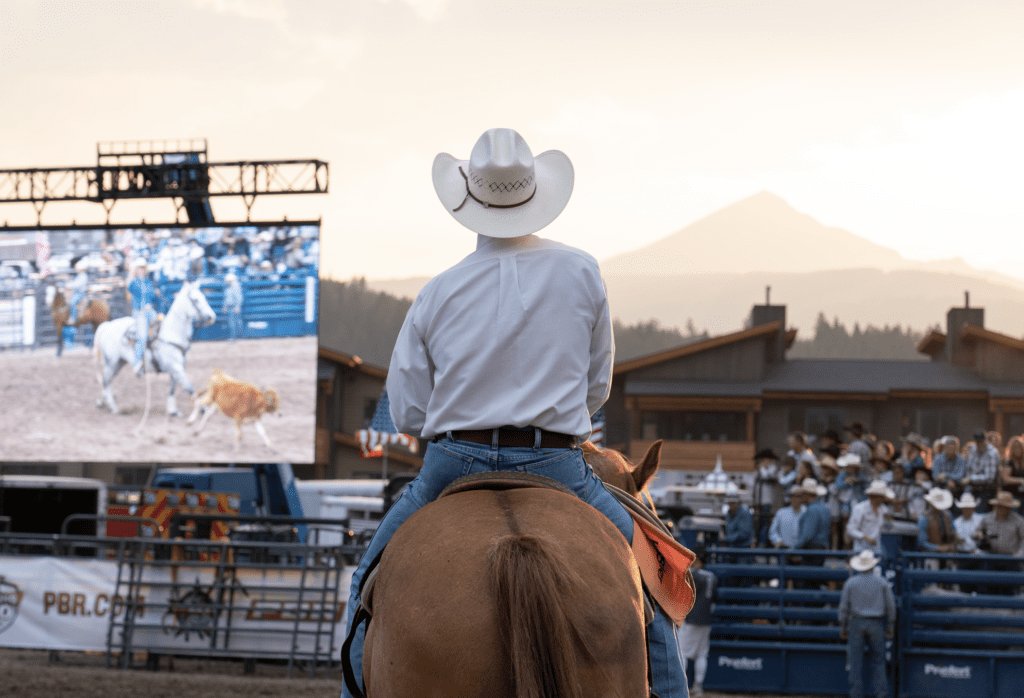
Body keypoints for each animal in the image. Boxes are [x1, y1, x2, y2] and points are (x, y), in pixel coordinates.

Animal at [94, 280, 218, 415]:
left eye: (204, 297)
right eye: (195, 300)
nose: (212, 317)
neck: (172, 333)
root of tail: (107, 325)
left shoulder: (176, 368)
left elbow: (172, 389)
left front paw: (173, 411)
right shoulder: (176, 368)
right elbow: (190, 388)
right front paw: (203, 408)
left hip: (119, 363)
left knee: (107, 381)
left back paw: (101, 402)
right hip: (111, 362)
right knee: (106, 381)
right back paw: (113, 407)